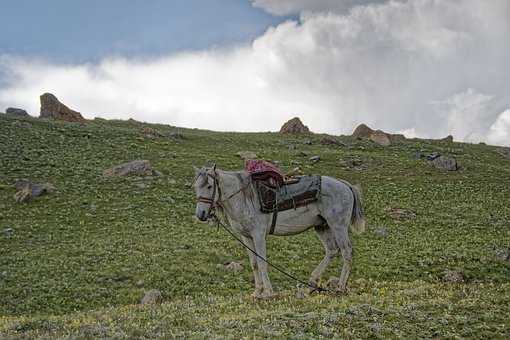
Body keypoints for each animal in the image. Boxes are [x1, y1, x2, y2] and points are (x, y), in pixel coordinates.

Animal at [193, 166, 364, 298]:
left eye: (209, 186)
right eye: (195, 187)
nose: (201, 214)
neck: (243, 197)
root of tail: (345, 185)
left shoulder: (258, 235)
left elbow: (262, 262)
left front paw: (268, 292)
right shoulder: (246, 237)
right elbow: (254, 264)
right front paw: (257, 292)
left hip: (338, 226)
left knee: (346, 252)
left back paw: (340, 287)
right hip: (322, 226)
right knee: (332, 250)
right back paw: (312, 282)